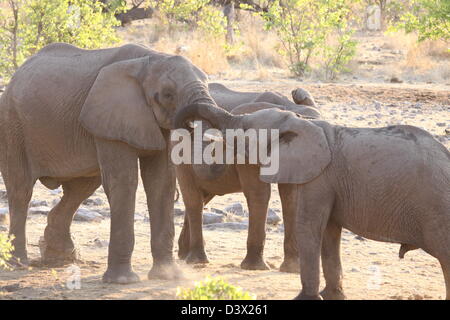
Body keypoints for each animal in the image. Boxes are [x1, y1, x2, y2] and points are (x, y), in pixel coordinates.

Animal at [0, 43, 225, 284]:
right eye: (167, 94)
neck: (150, 59)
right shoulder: (111, 117)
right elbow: (124, 182)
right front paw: (123, 281)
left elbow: (161, 183)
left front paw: (167, 276)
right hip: (12, 126)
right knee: (21, 190)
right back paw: (18, 263)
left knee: (81, 188)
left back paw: (59, 259)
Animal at [175, 104, 450, 300]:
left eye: (243, 132)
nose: (190, 127)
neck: (302, 122)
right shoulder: (326, 182)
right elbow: (329, 232)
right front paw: (332, 295)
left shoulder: (319, 178)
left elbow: (308, 227)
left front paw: (304, 298)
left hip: (437, 209)